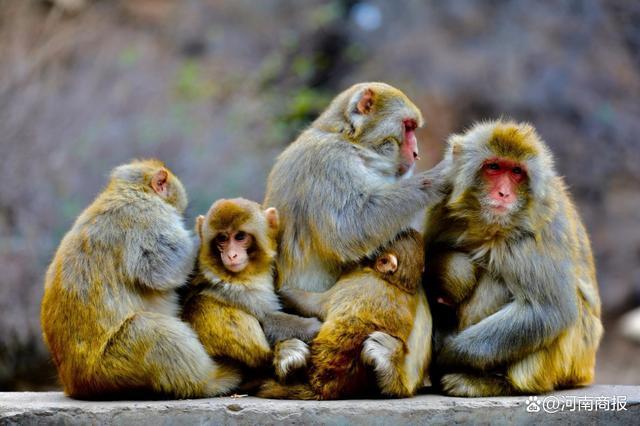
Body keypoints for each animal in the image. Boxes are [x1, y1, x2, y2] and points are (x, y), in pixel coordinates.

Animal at [40, 159, 240, 400]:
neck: (129, 190)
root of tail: (74, 384)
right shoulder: (147, 215)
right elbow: (162, 268)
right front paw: (201, 236)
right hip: (112, 368)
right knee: (153, 331)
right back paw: (210, 382)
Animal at [422, 120, 604, 396]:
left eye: (517, 172)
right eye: (494, 167)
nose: (503, 194)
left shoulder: (540, 227)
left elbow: (548, 309)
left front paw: (446, 353)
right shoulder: (438, 192)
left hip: (570, 361)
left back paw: (493, 383)